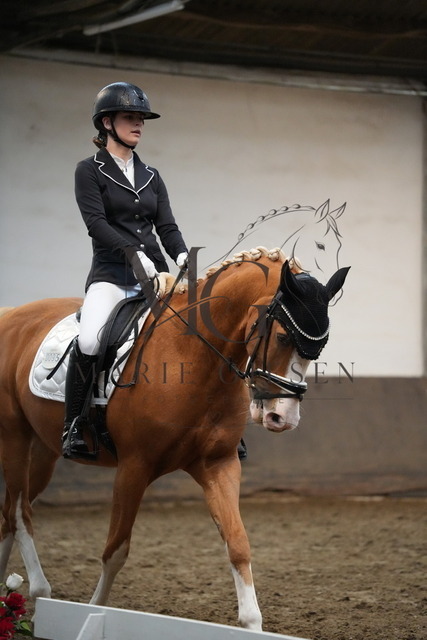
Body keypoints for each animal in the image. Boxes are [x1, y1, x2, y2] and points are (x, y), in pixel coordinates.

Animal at [0, 247, 349, 631]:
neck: (195, 357)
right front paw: (93, 610)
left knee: (8, 514)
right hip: (14, 436)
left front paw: (253, 623)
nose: (283, 417)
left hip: (43, 450)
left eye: (320, 347)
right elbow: (115, 550)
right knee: (19, 513)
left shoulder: (218, 464)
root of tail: (12, 314)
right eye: (284, 337)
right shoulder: (133, 467)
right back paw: (39, 589)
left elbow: (238, 543)